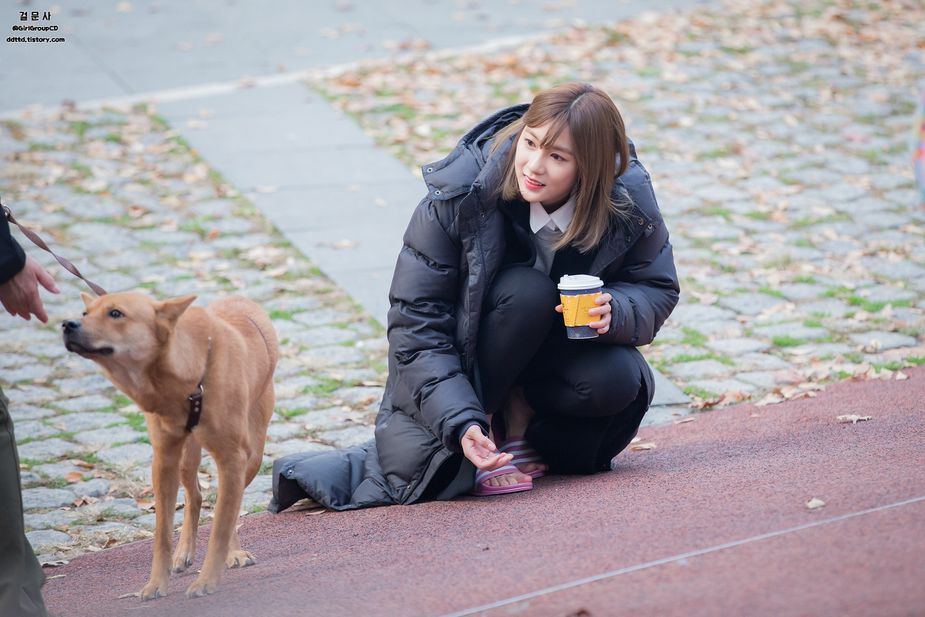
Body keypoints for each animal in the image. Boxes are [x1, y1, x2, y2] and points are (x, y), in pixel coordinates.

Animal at [62, 294, 278, 596]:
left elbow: (221, 526)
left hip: (252, 456)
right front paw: (156, 584)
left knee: (227, 507)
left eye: (116, 313)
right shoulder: (164, 460)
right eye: (85, 312)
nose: (67, 324)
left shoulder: (232, 457)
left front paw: (207, 581)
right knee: (195, 495)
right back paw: (184, 552)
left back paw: (232, 553)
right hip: (187, 458)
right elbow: (162, 532)